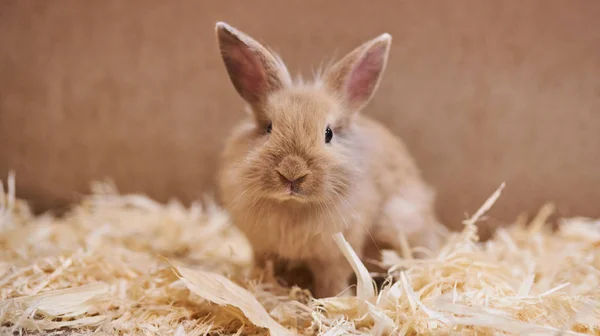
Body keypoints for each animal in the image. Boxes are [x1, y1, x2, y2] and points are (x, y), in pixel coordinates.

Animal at [214, 21, 446, 300]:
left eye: (328, 134)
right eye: (268, 128)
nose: (292, 173)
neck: (293, 206)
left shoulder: (334, 255)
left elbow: (332, 282)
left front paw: (331, 301)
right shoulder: (263, 249)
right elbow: (264, 270)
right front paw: (262, 288)